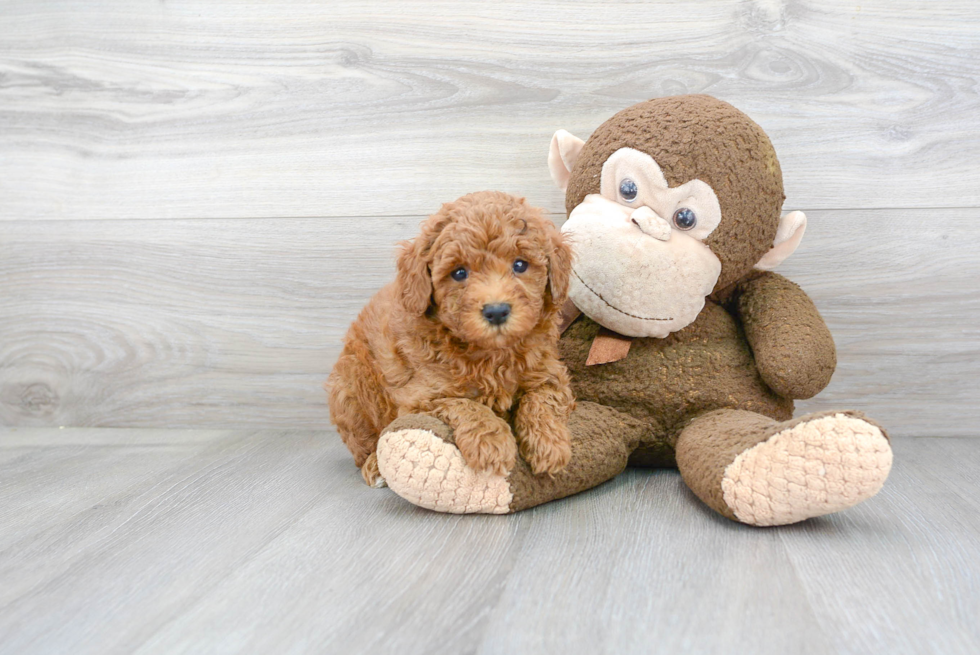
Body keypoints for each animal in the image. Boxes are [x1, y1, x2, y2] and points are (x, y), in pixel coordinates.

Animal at [328, 190, 576, 486]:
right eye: (459, 273)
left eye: (520, 265)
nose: (496, 311)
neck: (491, 354)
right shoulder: (419, 398)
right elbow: (466, 404)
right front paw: (491, 443)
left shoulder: (550, 373)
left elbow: (541, 400)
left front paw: (550, 444)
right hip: (350, 391)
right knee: (366, 444)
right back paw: (374, 467)